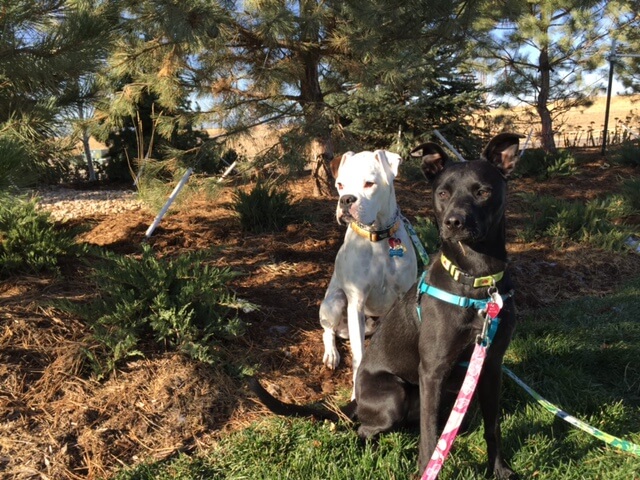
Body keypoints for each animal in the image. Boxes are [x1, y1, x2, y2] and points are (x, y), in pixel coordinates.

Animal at [320, 150, 420, 398]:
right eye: (340, 185)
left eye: (369, 184)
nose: (346, 199)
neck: (378, 237)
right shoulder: (356, 301)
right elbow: (359, 356)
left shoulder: (403, 296)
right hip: (335, 302)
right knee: (328, 331)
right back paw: (331, 354)